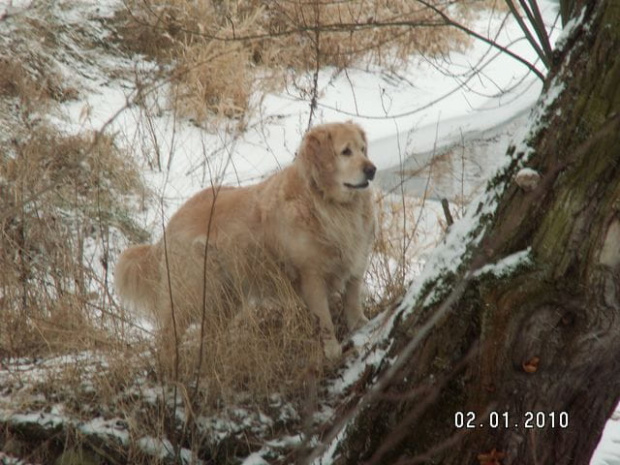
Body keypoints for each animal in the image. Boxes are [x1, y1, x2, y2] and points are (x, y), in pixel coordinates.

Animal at [116, 122, 378, 362]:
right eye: (346, 151)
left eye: (363, 149)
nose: (372, 169)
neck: (326, 202)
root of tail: (169, 225)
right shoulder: (311, 276)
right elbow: (324, 319)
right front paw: (332, 351)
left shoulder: (355, 264)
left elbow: (353, 301)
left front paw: (362, 327)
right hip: (191, 293)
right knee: (168, 334)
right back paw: (173, 369)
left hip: (224, 297)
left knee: (208, 333)